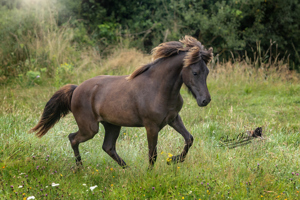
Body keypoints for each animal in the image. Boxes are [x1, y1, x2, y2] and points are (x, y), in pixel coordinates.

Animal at [30, 35, 213, 167]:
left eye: (207, 71)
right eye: (195, 72)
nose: (205, 100)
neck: (158, 89)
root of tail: (76, 89)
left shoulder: (173, 119)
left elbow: (189, 139)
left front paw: (173, 160)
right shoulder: (151, 126)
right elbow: (152, 155)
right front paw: (150, 175)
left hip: (112, 125)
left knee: (108, 147)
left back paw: (127, 169)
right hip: (90, 128)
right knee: (73, 138)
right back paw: (80, 168)